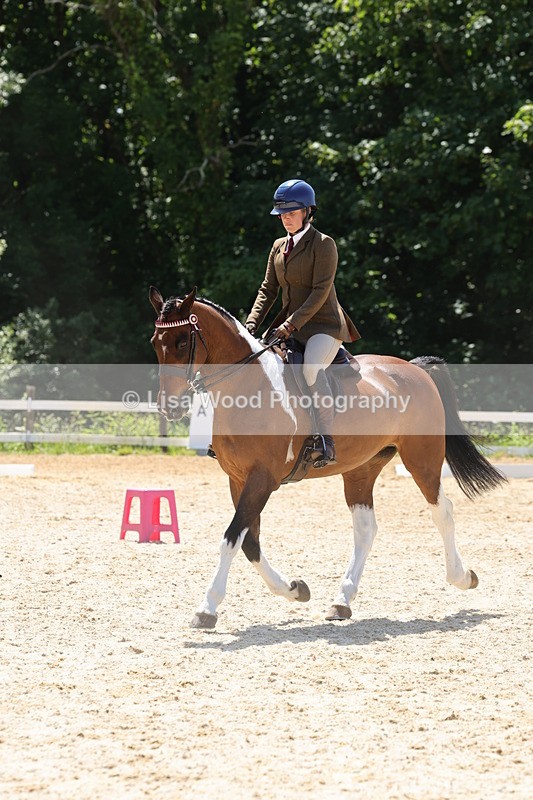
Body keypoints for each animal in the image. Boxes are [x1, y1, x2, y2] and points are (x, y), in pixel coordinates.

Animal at [149, 286, 505, 629]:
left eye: (182, 341)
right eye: (156, 342)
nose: (170, 407)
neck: (248, 387)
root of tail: (414, 369)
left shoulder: (262, 479)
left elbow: (232, 538)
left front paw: (206, 609)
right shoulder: (238, 479)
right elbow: (249, 541)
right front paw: (295, 589)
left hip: (422, 458)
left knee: (442, 511)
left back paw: (462, 577)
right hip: (362, 468)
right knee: (365, 528)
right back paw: (342, 601)